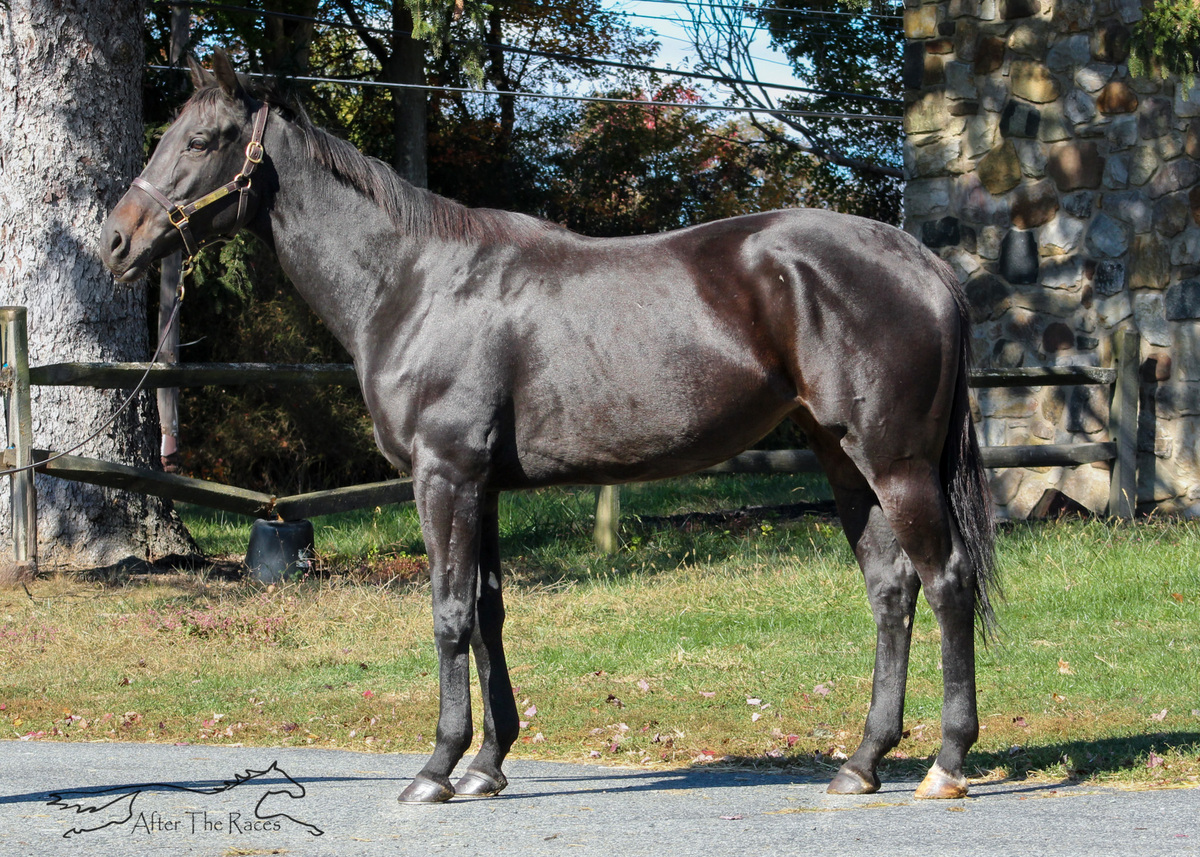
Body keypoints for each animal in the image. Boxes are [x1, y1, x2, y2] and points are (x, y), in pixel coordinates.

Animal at [100, 52, 997, 804]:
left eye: (203, 139)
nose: (116, 240)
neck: (412, 282)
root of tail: (921, 261)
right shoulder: (485, 485)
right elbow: (489, 612)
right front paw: (487, 765)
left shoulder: (444, 476)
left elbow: (449, 613)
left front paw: (435, 768)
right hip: (843, 460)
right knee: (891, 589)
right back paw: (863, 761)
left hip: (896, 463)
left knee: (946, 581)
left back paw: (947, 763)